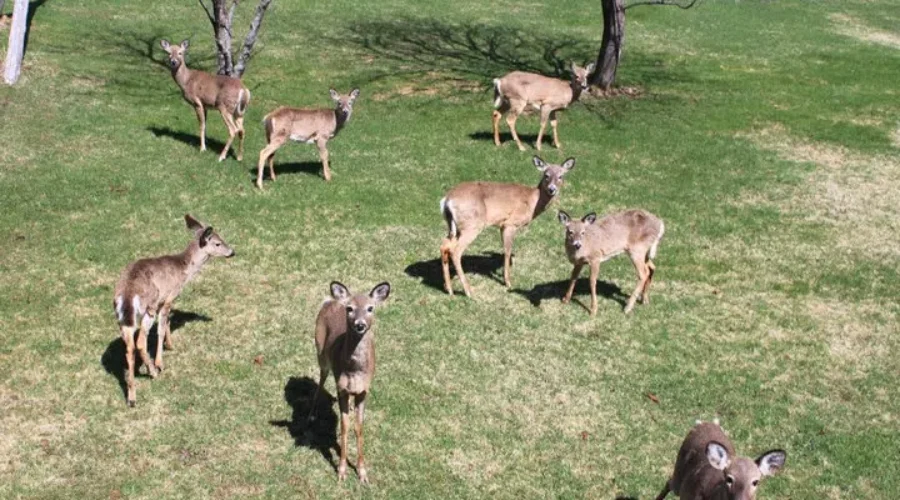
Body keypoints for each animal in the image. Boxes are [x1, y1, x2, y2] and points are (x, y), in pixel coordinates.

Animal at [112, 215, 235, 407]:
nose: (232, 252)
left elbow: (168, 322)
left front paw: (170, 345)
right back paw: (153, 372)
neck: (183, 270)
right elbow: (161, 329)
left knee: (129, 346)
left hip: (123, 318)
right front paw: (160, 362)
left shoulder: (165, 302)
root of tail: (127, 294)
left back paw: (132, 397)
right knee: (140, 341)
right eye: (217, 243)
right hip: (148, 308)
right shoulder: (168, 297)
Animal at [307, 281, 391, 484]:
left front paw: (362, 473)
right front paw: (342, 470)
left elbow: (359, 427)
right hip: (321, 353)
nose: (360, 325)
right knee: (321, 380)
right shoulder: (342, 389)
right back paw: (311, 415)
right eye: (350, 308)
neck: (354, 372)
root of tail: (330, 300)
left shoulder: (364, 391)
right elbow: (344, 426)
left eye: (370, 308)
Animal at [440, 156, 575, 297]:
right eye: (546, 175)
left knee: (444, 246)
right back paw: (468, 291)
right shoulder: (510, 223)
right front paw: (508, 282)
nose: (552, 189)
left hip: (454, 227)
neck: (532, 202)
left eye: (561, 176)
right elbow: (507, 251)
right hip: (472, 224)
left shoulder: (502, 225)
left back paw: (449, 289)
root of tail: (447, 200)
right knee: (455, 251)